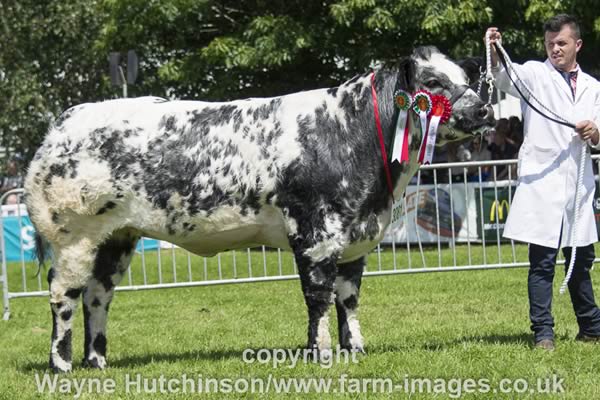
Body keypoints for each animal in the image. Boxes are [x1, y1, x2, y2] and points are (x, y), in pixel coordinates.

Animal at [24, 46, 492, 372]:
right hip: (74, 236)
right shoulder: (316, 234)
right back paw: (62, 365)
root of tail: (63, 122)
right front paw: (320, 354)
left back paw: (98, 361)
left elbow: (349, 298)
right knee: (63, 295)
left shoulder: (354, 238)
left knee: (98, 295)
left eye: (465, 77)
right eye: (432, 82)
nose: (484, 109)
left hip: (117, 237)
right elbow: (319, 298)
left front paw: (354, 350)